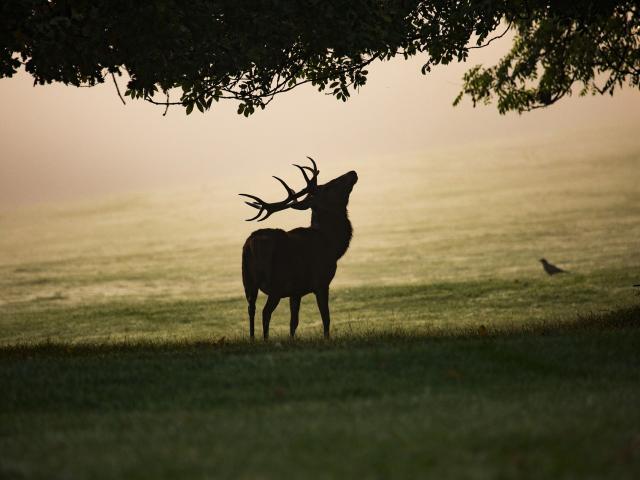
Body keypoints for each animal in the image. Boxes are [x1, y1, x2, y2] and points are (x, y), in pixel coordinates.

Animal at [240, 157, 358, 340]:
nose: (352, 172)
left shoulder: (295, 291)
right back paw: (265, 340)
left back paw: (253, 339)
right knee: (265, 312)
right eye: (328, 186)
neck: (332, 245)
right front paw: (326, 339)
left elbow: (293, 322)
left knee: (251, 309)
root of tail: (253, 244)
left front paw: (292, 339)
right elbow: (326, 317)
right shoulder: (321, 281)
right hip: (276, 281)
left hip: (248, 280)